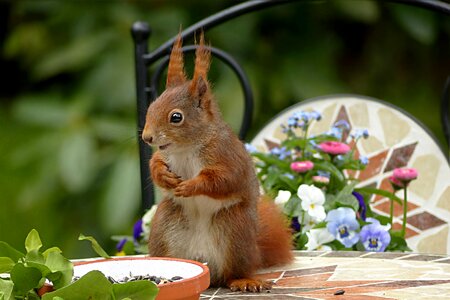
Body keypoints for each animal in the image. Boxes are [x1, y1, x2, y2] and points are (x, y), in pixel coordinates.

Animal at [142, 33, 294, 292]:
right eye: (151, 107)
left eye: (176, 117)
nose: (147, 137)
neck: (186, 148)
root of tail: (208, 267)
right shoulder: (165, 155)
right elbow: (155, 165)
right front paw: (164, 176)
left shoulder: (227, 156)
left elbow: (224, 180)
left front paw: (190, 186)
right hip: (164, 228)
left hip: (235, 232)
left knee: (233, 272)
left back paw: (244, 280)